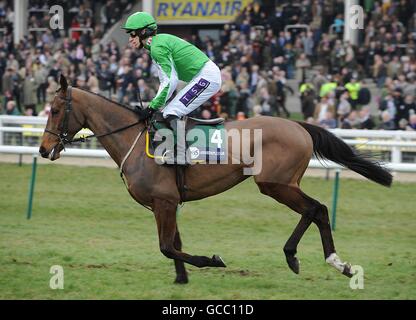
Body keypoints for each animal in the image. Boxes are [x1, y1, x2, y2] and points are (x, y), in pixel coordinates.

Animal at [39, 75, 394, 284]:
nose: (43, 149)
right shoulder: (166, 203)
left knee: (316, 208)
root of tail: (298, 125)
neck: (135, 141)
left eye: (55, 110)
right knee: (315, 210)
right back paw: (318, 260)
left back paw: (317, 259)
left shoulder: (164, 201)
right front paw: (181, 279)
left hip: (275, 184)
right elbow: (174, 244)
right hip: (283, 184)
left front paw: (211, 260)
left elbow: (167, 247)